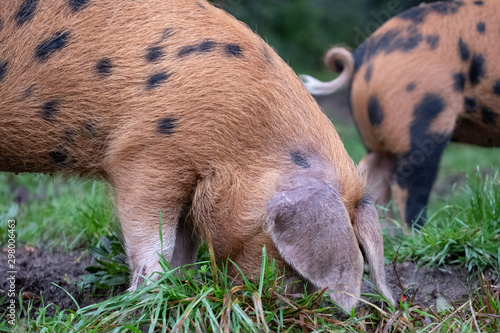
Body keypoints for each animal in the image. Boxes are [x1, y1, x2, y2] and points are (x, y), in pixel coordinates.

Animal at [0, 0, 394, 308]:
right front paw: (148, 295)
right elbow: (152, 240)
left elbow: (183, 245)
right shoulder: (143, 156)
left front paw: (182, 284)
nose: (285, 303)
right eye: (282, 253)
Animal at [300, 0, 500, 228]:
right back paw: (423, 231)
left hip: (378, 136)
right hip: (421, 116)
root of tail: (362, 55)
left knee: (373, 174)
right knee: (407, 184)